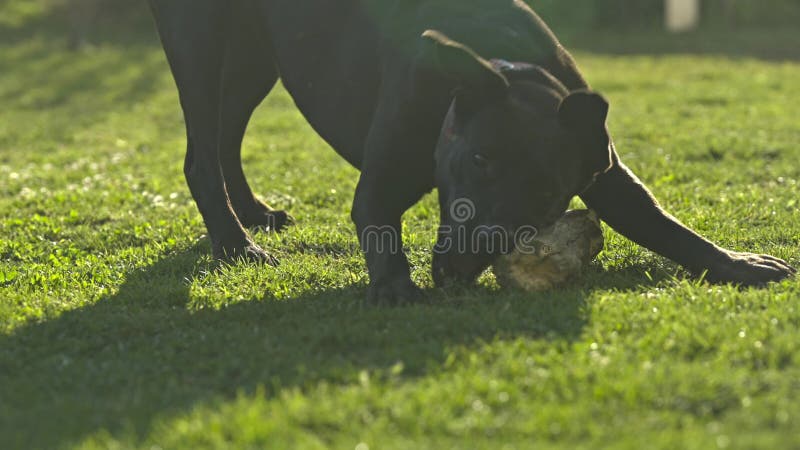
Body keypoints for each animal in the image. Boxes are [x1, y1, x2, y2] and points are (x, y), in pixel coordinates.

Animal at [150, 0, 792, 302]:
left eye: (547, 195)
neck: (501, 62)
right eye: (479, 161)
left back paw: (251, 214)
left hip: (258, 60)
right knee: (201, 152)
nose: (463, 264)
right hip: (201, 41)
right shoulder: (381, 180)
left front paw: (737, 263)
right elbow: (378, 223)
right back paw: (236, 243)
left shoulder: (602, 167)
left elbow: (664, 224)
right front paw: (393, 286)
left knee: (225, 137)